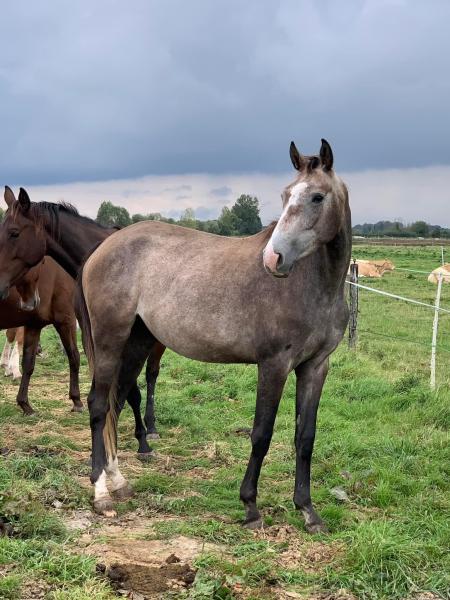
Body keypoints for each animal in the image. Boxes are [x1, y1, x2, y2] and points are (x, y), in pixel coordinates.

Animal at [75, 139, 352, 528]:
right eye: (285, 195)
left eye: (317, 197)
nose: (274, 258)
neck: (314, 285)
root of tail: (102, 249)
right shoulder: (274, 364)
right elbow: (262, 434)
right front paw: (250, 506)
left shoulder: (315, 366)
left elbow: (305, 437)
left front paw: (308, 510)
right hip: (109, 340)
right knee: (99, 405)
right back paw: (100, 491)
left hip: (137, 342)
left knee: (115, 402)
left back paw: (118, 480)